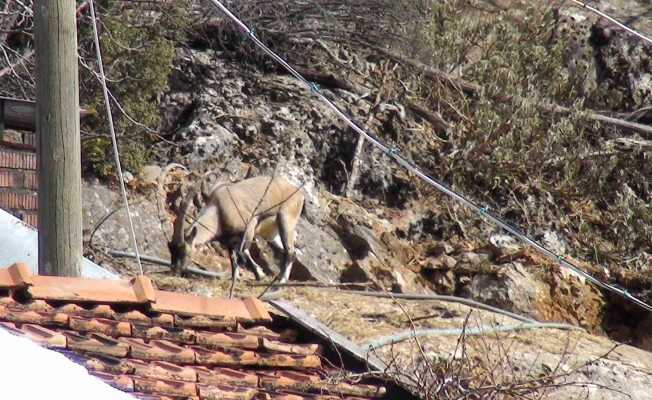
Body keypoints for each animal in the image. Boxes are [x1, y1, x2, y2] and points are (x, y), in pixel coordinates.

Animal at [166, 173, 304, 296]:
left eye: (184, 251)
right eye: (171, 249)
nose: (174, 271)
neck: (218, 211)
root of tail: (298, 193)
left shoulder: (249, 226)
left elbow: (242, 252)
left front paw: (259, 274)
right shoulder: (229, 242)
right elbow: (233, 258)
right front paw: (236, 277)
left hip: (286, 220)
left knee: (290, 251)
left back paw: (279, 284)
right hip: (272, 234)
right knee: (291, 252)